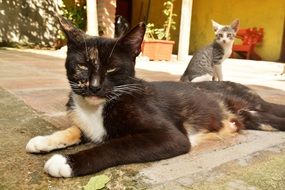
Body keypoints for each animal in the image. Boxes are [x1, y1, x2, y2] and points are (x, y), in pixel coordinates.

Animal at [26, 16, 284, 178]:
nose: (94, 87)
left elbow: (116, 145)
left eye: (112, 69)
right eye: (81, 66)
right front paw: (45, 140)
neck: (96, 107)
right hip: (254, 118)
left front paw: (66, 162)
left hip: (252, 104)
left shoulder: (171, 137)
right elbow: (78, 129)